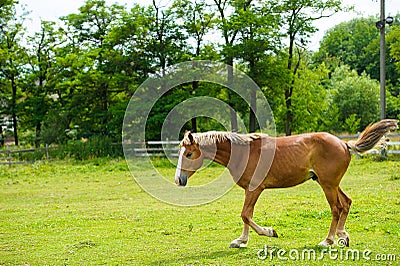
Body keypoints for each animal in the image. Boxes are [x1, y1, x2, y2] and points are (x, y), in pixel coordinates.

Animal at [175, 118, 396, 247]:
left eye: (188, 153)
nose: (178, 180)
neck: (244, 153)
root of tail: (344, 143)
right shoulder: (249, 190)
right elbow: (246, 216)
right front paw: (241, 240)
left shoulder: (255, 189)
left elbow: (245, 215)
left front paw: (270, 232)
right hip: (329, 183)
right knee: (347, 203)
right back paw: (343, 236)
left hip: (328, 185)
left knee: (336, 208)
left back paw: (328, 240)